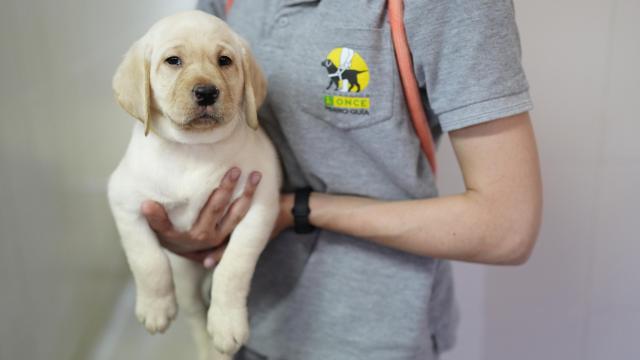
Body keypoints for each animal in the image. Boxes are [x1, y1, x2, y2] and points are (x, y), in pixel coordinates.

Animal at [107, 9, 280, 358]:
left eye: (224, 60)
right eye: (173, 61)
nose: (206, 92)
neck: (194, 149)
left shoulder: (261, 202)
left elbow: (234, 266)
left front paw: (227, 324)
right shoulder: (123, 200)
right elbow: (148, 259)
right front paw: (155, 308)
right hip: (185, 276)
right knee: (196, 312)